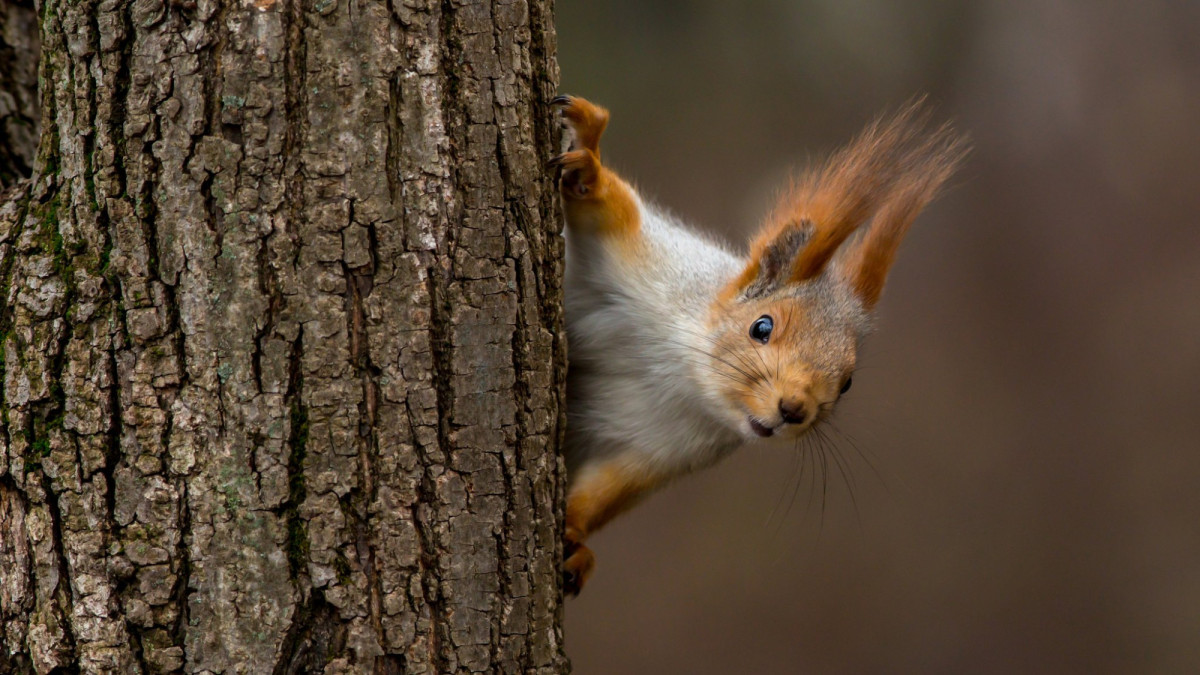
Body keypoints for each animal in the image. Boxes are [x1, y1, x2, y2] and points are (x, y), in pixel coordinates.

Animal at [550, 95, 967, 596]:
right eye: (761, 327)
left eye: (847, 383)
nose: (794, 409)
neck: (685, 380)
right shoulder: (646, 261)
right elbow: (609, 210)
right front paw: (588, 161)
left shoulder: (662, 453)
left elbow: (605, 491)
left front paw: (574, 535)